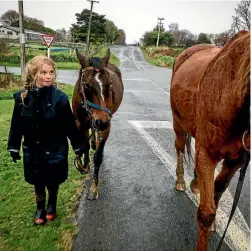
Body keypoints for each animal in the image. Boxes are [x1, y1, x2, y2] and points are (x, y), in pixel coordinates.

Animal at [72, 48, 123, 199]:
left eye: (110, 85)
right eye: (86, 86)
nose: (102, 121)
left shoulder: (106, 126)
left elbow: (98, 156)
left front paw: (94, 187)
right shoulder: (81, 124)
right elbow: (84, 147)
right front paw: (84, 164)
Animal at [170, 29, 250, 251]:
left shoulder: (236, 161)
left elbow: (217, 191)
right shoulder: (207, 154)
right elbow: (205, 213)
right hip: (178, 125)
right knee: (180, 147)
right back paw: (181, 181)